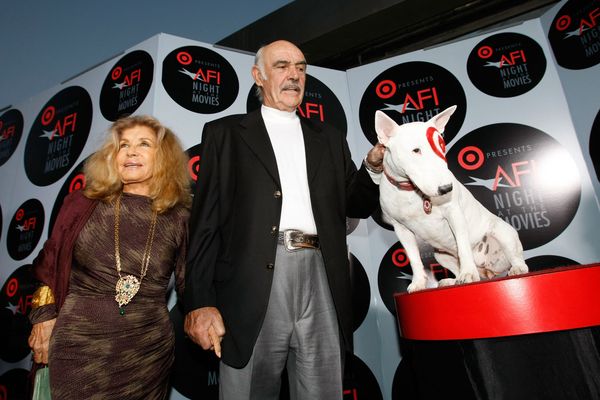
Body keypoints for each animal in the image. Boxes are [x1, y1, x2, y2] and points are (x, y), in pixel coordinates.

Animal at [378, 104, 528, 292]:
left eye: (441, 147)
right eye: (416, 150)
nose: (446, 188)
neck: (409, 191)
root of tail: (486, 269)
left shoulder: (454, 213)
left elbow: (463, 244)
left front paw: (468, 274)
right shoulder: (401, 229)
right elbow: (413, 258)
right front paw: (418, 283)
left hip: (503, 233)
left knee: (517, 258)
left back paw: (515, 269)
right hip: (441, 255)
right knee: (459, 269)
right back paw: (452, 280)